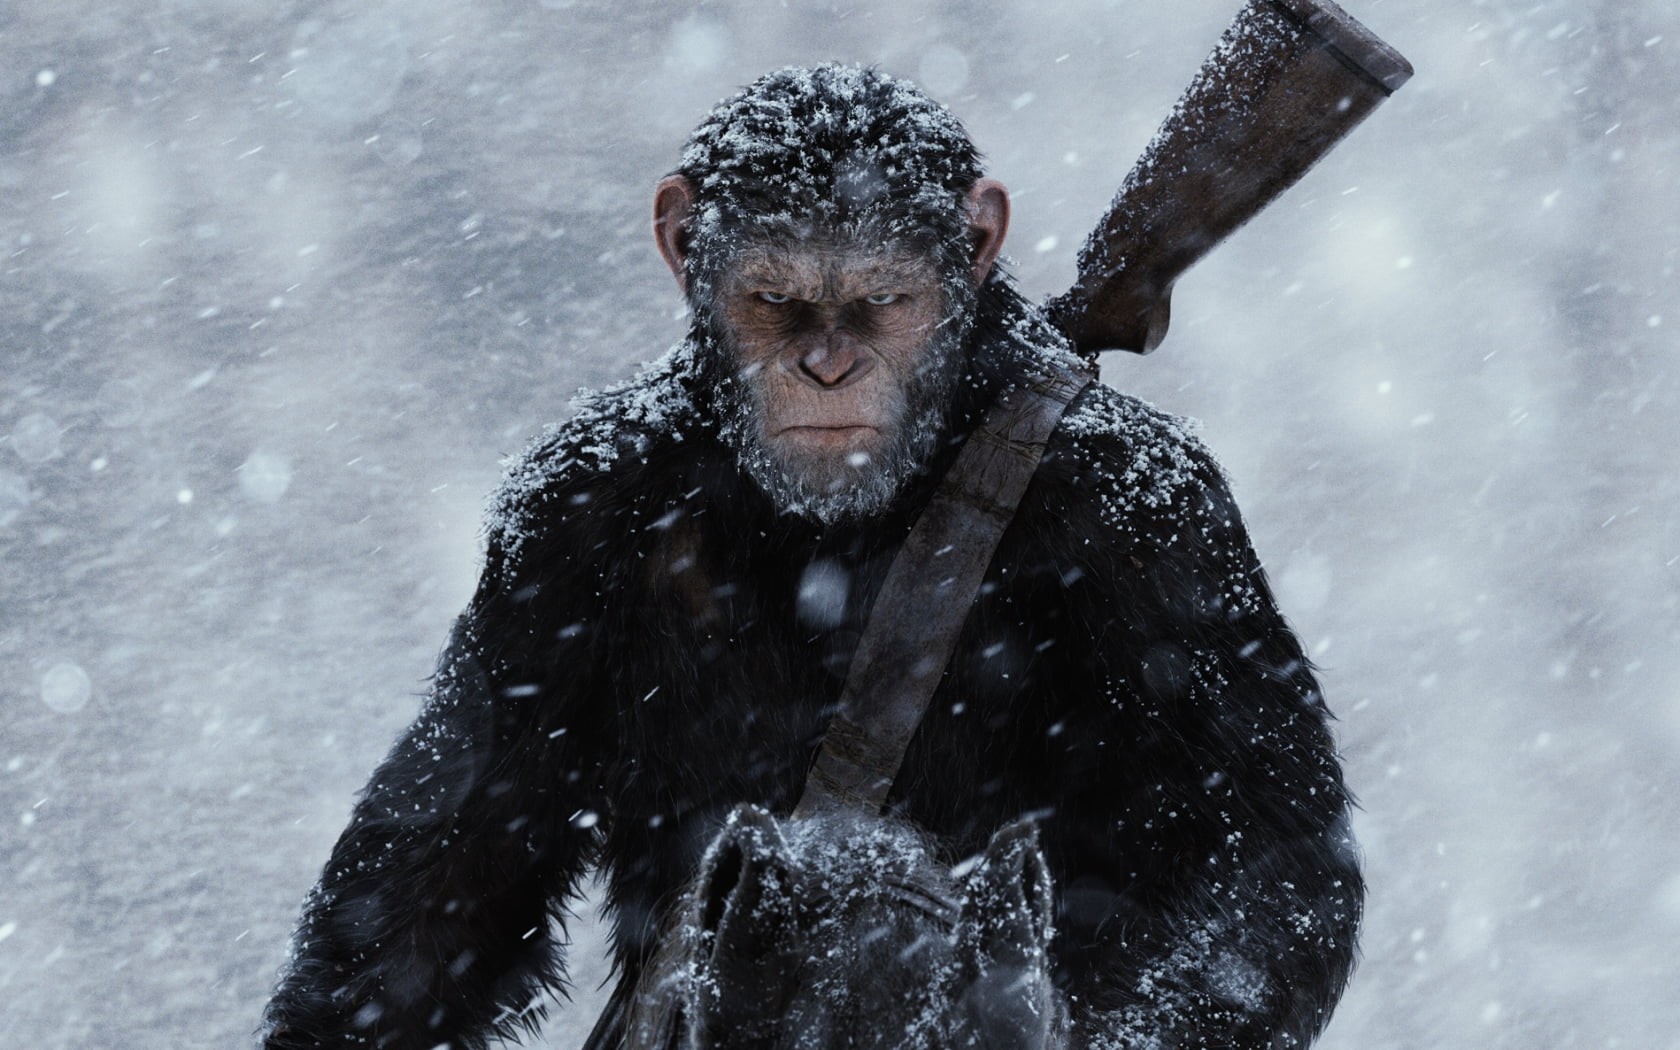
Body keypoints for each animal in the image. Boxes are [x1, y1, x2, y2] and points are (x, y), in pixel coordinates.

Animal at [261, 64, 1361, 1050]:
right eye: (771, 294)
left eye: (886, 296)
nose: (827, 368)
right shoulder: (552, 524)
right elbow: (458, 859)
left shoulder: (1158, 521)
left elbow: (1269, 854)